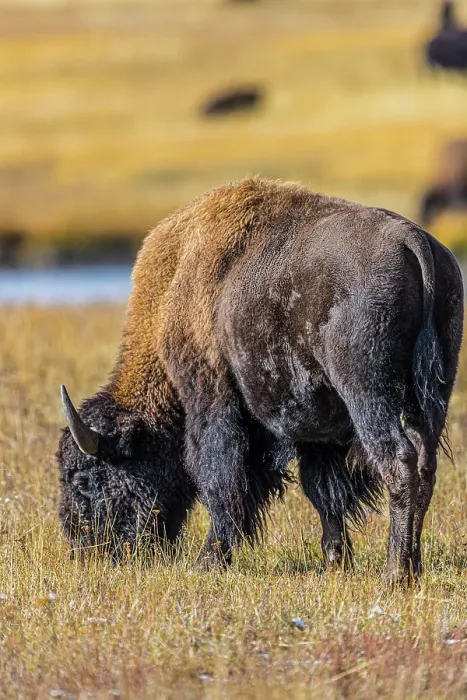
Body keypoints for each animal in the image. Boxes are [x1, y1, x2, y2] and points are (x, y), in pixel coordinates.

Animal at [57, 178, 463, 584]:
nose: (82, 546)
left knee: (398, 462)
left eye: (83, 477)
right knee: (424, 465)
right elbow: (322, 491)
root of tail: (413, 241)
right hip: (431, 395)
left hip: (368, 395)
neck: (174, 291)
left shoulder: (213, 402)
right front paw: (335, 560)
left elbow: (222, 482)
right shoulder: (319, 432)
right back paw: (413, 566)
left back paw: (395, 574)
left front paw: (208, 560)